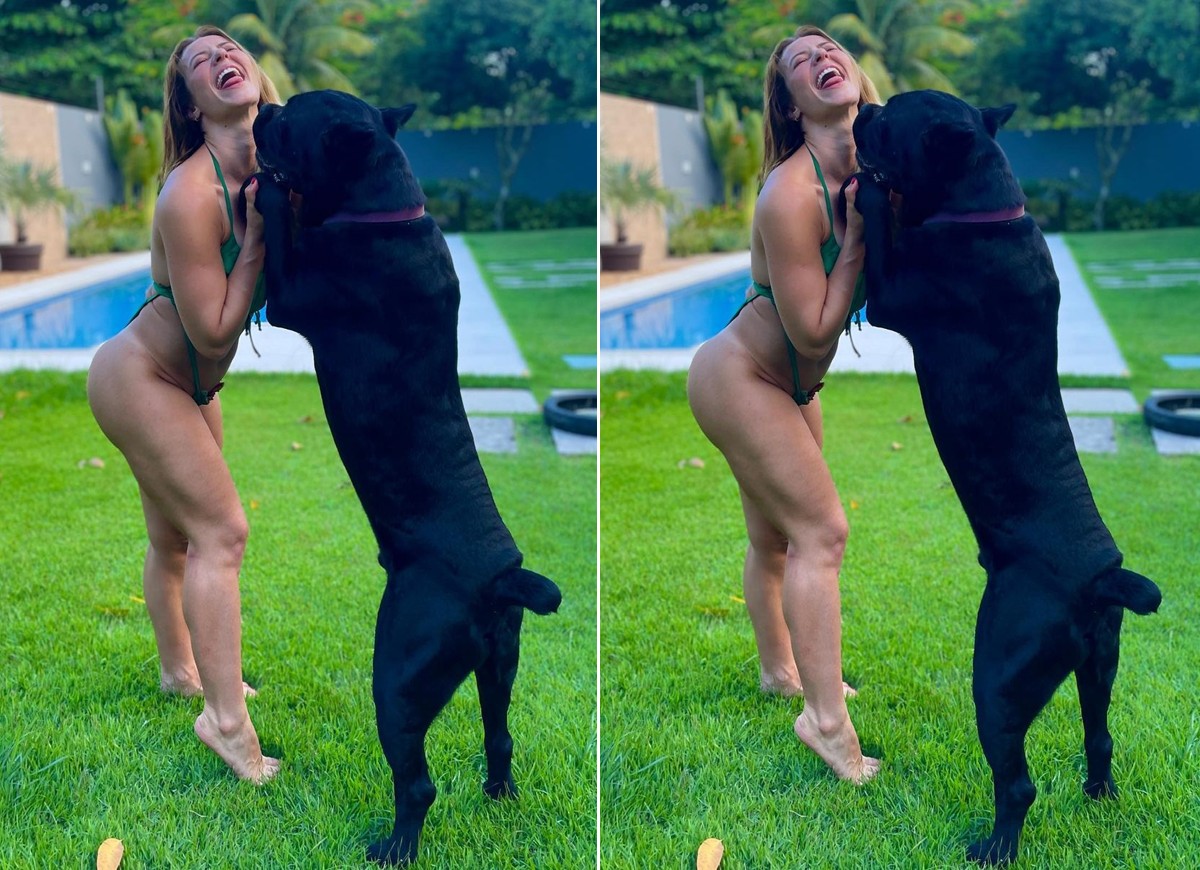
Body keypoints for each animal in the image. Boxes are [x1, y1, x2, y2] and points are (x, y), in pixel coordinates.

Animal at [247, 90, 562, 866]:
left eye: (291, 118)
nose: (264, 106)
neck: (386, 207)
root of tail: (500, 579)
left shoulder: (292, 293)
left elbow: (283, 227)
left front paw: (268, 189)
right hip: (500, 664)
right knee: (499, 734)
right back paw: (498, 795)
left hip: (398, 677)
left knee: (417, 782)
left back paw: (394, 846)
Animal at [847, 90, 1161, 865]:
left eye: (891, 118)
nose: (864, 107)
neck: (986, 207)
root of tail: (1100, 579)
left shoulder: (893, 293)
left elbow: (884, 226)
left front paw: (868, 189)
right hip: (1100, 664)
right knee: (1100, 734)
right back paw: (1098, 795)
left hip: (998, 677)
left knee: (1017, 782)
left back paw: (994, 845)